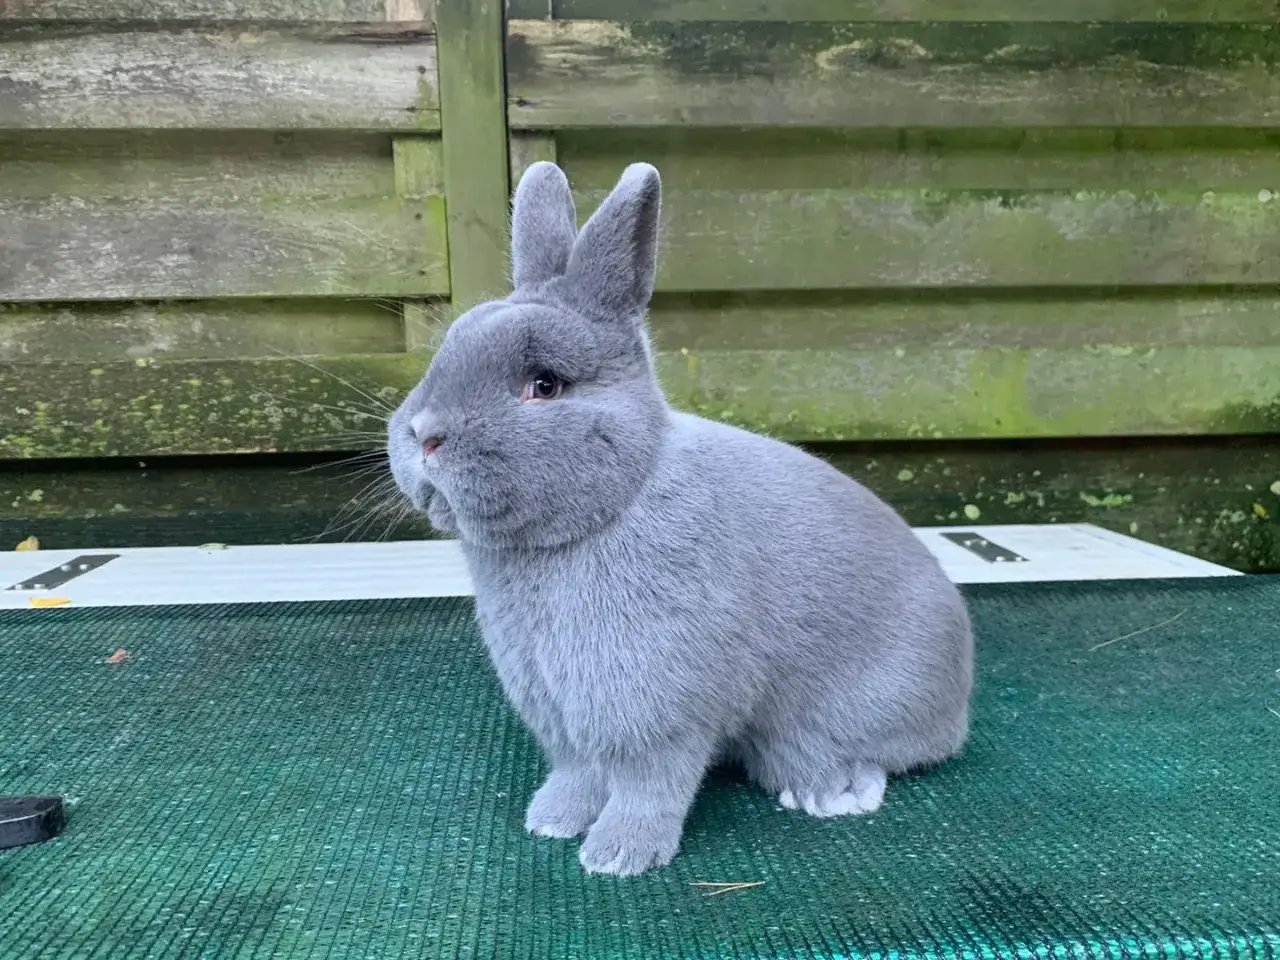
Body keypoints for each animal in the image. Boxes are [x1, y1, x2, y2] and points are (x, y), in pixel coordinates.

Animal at [386, 160, 974, 877]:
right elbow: (578, 772)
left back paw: (828, 792)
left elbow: (650, 784)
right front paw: (550, 821)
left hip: (853, 710)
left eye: (545, 385)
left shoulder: (658, 710)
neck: (611, 505)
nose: (423, 434)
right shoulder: (563, 712)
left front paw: (618, 856)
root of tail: (960, 701)